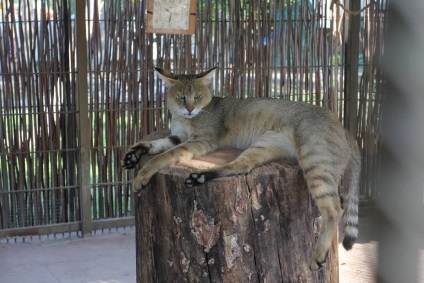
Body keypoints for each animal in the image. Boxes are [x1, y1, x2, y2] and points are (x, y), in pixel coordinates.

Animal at [121, 67, 362, 272]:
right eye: (181, 97)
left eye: (196, 97)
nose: (190, 109)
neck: (187, 118)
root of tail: (346, 130)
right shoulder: (177, 136)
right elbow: (155, 144)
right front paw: (132, 155)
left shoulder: (201, 140)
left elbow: (163, 156)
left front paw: (141, 176)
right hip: (264, 144)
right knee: (241, 165)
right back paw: (200, 177)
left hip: (315, 161)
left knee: (334, 209)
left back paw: (318, 255)